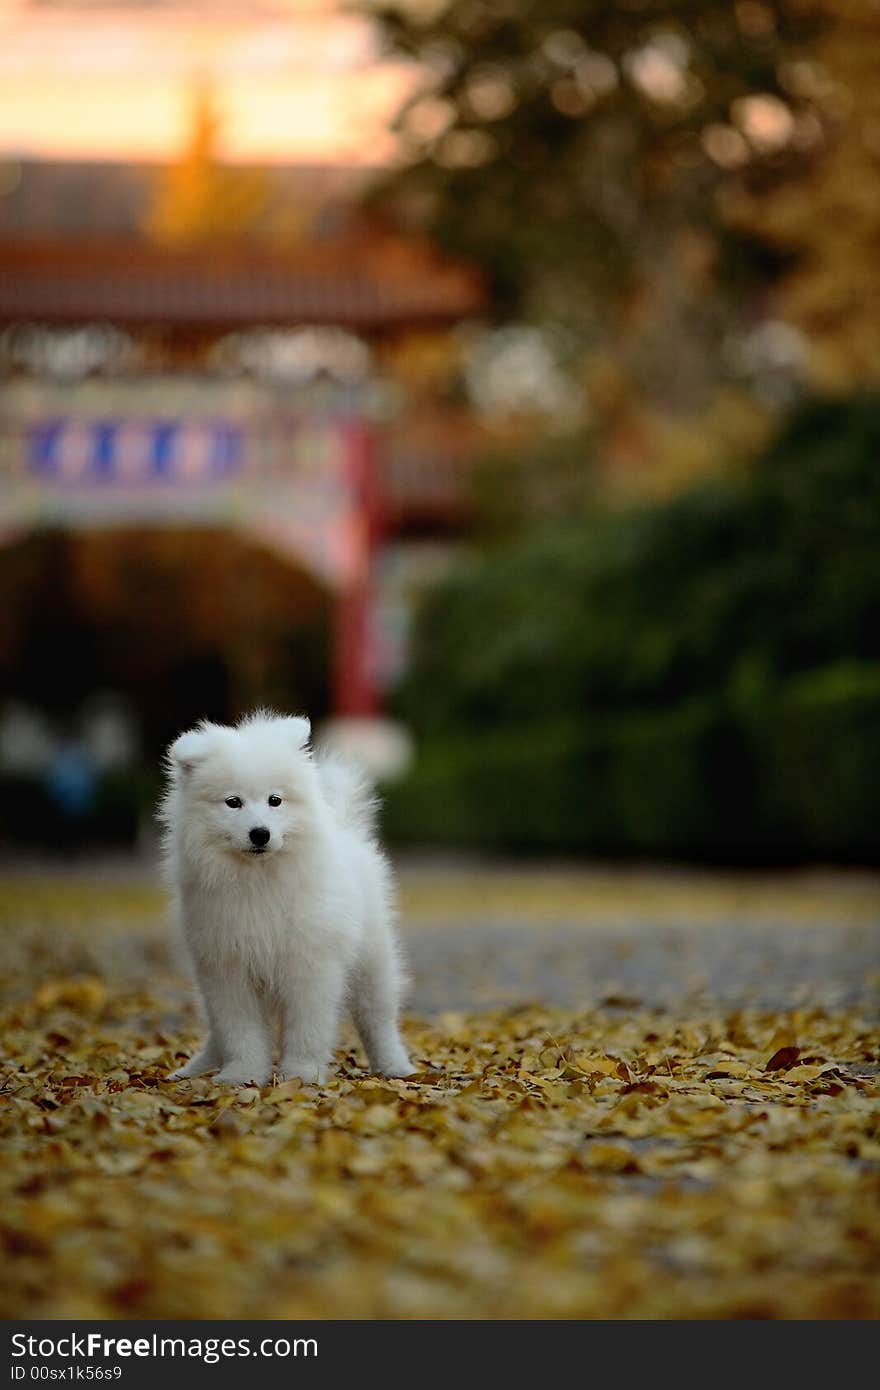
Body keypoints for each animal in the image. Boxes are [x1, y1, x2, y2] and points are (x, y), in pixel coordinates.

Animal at [158, 717, 414, 1084]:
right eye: (233, 802)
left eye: (275, 800)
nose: (260, 834)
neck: (258, 880)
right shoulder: (227, 969)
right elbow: (240, 1031)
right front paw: (243, 1074)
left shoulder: (309, 966)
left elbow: (307, 1029)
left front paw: (301, 1075)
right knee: (218, 1032)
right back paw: (196, 1068)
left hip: (372, 961)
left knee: (377, 1018)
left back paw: (394, 1066)